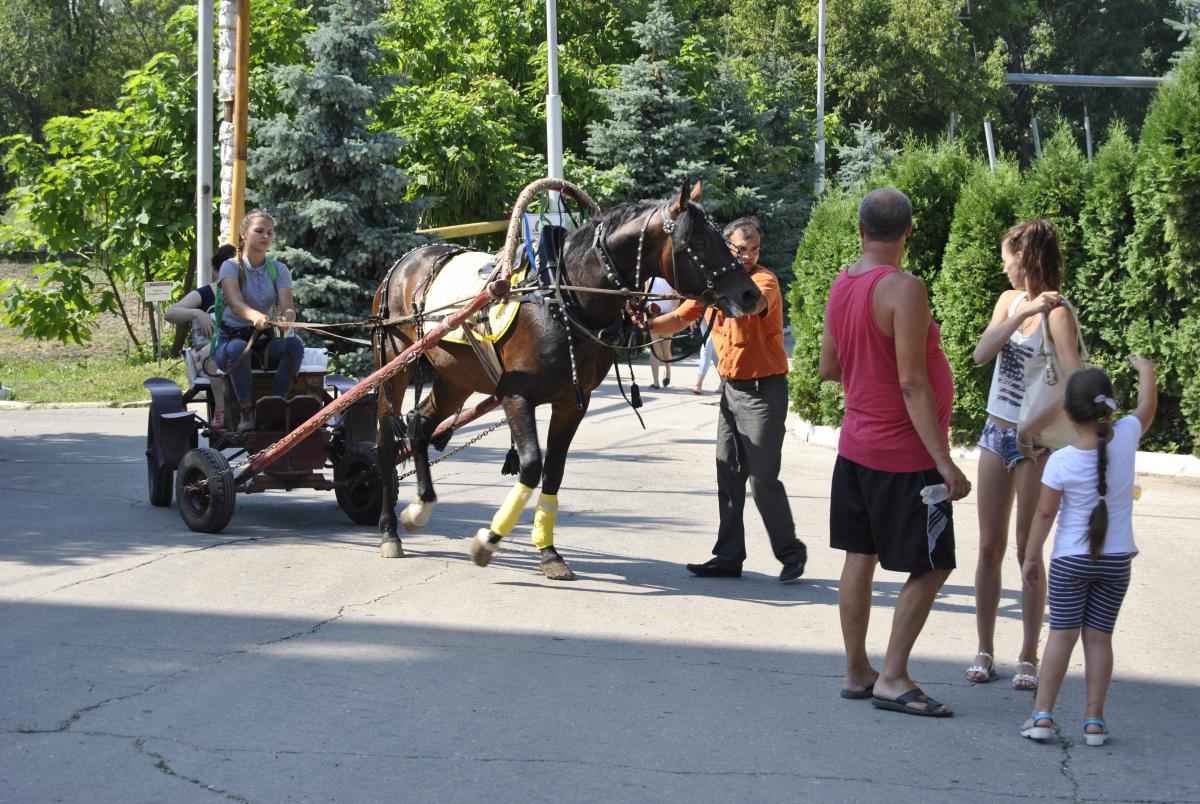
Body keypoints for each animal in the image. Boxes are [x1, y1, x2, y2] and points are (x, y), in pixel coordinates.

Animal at [367, 182, 758, 580]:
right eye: (698, 240)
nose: (750, 294)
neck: (563, 298)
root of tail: (404, 262)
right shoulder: (514, 395)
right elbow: (531, 465)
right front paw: (489, 540)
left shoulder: (572, 402)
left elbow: (553, 471)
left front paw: (548, 551)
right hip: (393, 364)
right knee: (385, 442)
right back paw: (389, 530)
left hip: (456, 377)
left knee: (420, 423)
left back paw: (420, 507)